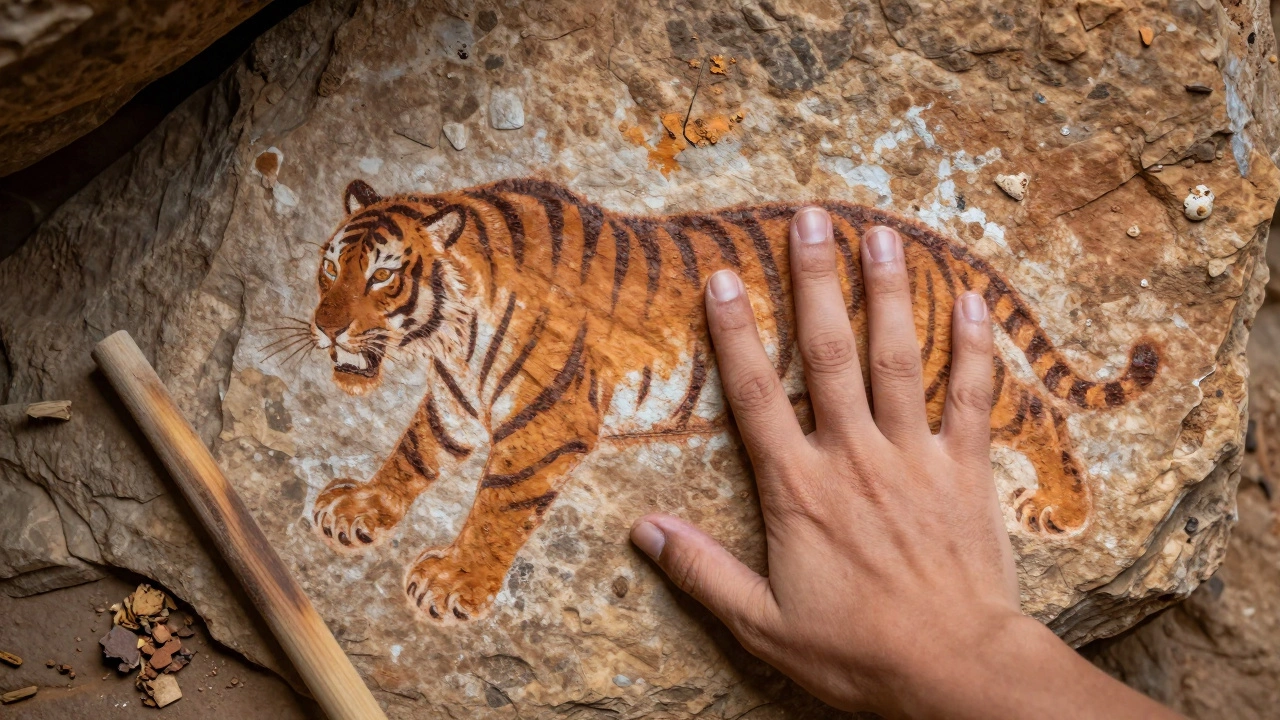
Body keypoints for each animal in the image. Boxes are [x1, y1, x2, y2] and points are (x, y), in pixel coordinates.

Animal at [303, 176, 1160, 622]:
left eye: (384, 276)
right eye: (328, 266)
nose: (326, 328)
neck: (449, 331)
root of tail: (917, 235)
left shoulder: (546, 423)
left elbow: (498, 506)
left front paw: (453, 585)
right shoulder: (453, 400)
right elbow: (411, 454)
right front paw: (357, 509)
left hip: (935, 374)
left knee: (1039, 408)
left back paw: (1062, 511)